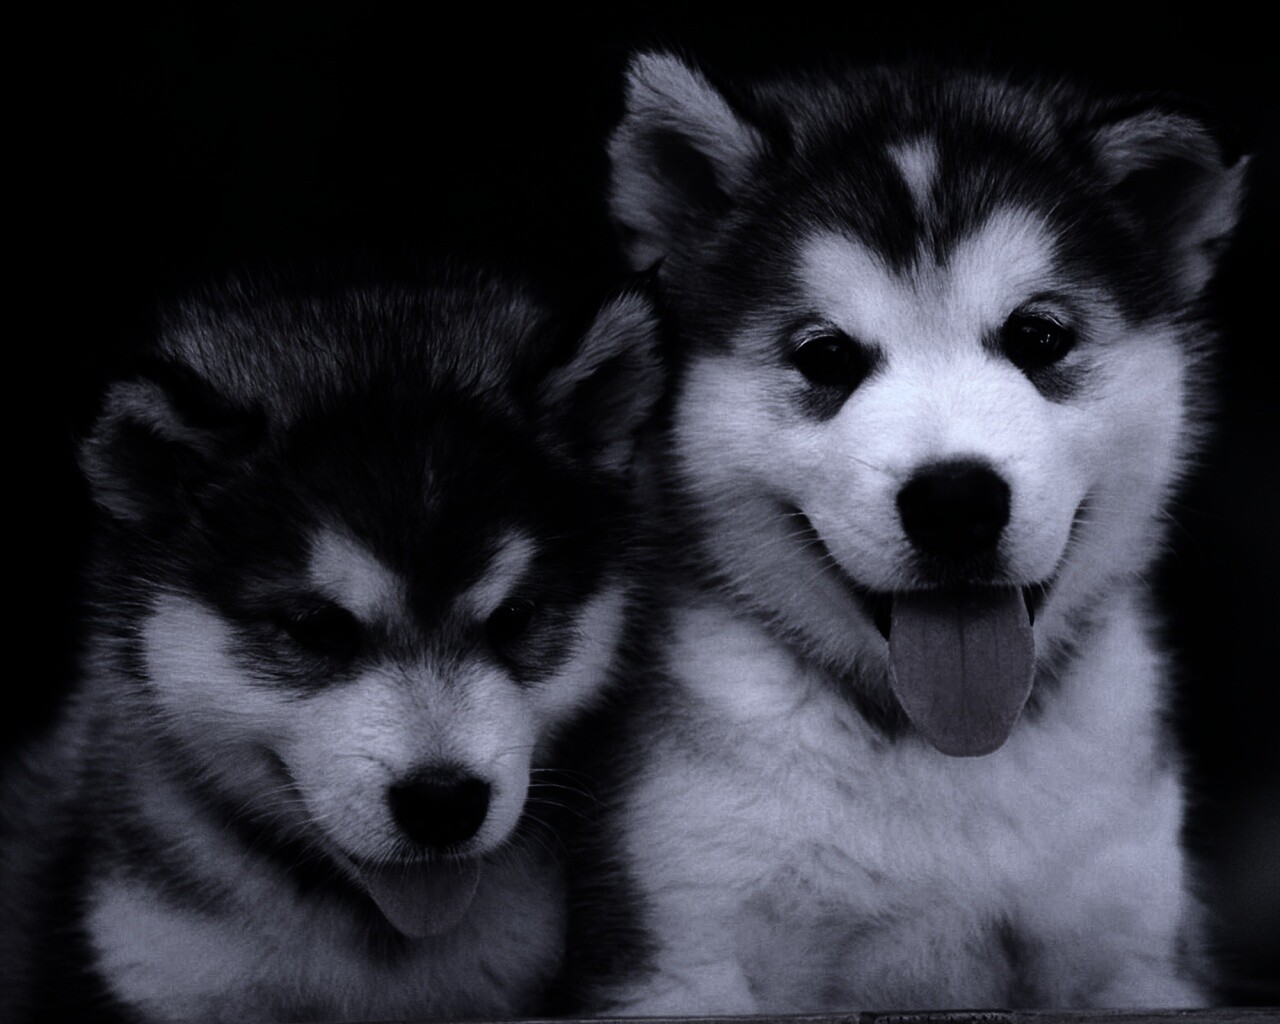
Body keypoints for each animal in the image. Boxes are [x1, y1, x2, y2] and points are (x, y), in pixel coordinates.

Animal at [561, 52, 1248, 1013]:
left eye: (1038, 336)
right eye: (825, 355)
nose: (955, 502)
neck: (937, 754)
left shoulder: (1134, 948)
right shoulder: (679, 945)